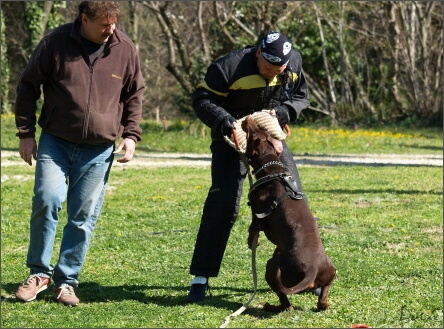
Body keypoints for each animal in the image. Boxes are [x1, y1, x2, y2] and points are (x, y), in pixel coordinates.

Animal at [241, 116, 334, 312]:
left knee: (286, 303)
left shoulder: (258, 215)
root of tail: (312, 270)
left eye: (252, 133)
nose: (249, 117)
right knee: (322, 298)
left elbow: (252, 229)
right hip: (331, 270)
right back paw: (324, 303)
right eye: (260, 130)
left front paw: (252, 242)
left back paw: (271, 306)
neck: (272, 169)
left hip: (272, 268)